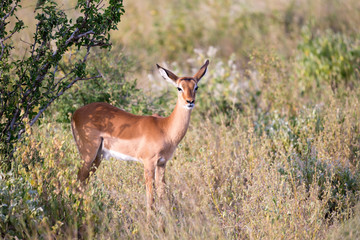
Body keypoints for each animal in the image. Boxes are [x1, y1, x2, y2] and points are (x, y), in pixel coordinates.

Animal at [71, 59, 210, 216]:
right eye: (179, 88)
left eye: (196, 87)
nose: (190, 101)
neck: (165, 128)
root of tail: (76, 113)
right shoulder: (148, 163)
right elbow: (151, 200)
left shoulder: (162, 163)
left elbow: (162, 195)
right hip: (88, 155)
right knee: (78, 183)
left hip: (97, 157)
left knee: (82, 185)